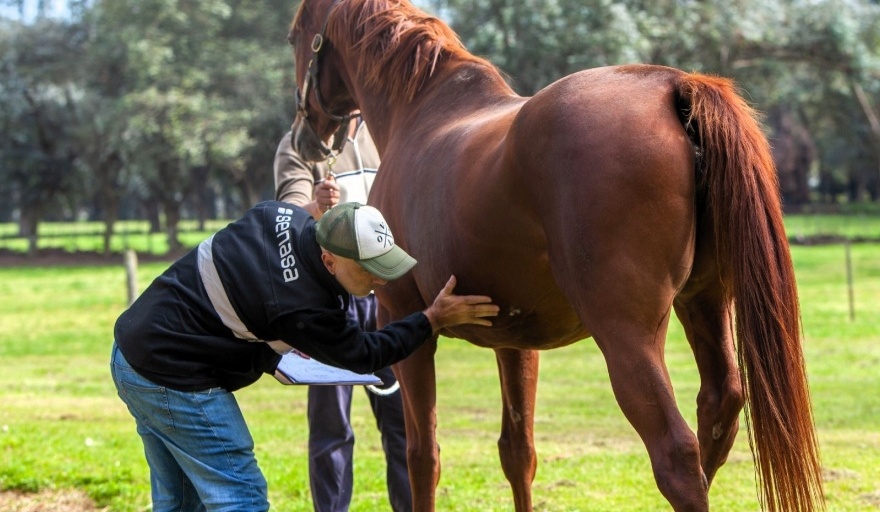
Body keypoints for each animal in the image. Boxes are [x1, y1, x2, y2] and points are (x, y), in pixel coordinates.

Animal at [286, 1, 825, 511]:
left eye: (295, 35)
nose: (305, 136)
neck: (422, 112)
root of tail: (673, 86)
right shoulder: (514, 341)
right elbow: (517, 452)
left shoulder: (405, 319)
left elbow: (422, 455)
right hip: (705, 302)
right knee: (718, 409)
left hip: (627, 335)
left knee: (677, 456)